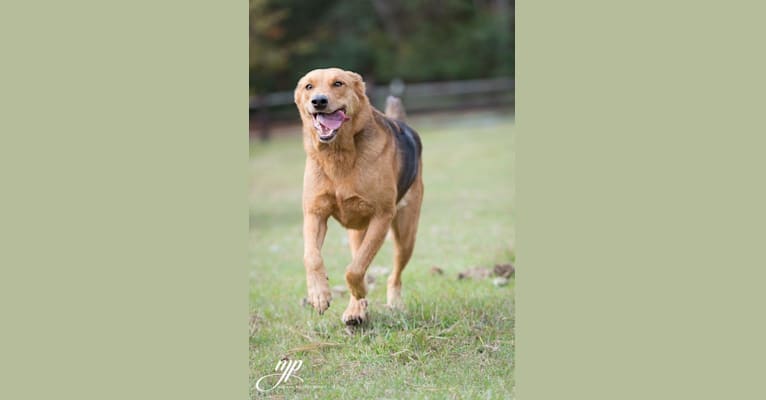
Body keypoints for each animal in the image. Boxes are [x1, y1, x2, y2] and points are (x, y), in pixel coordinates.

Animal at [294, 68, 426, 324]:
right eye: (308, 87)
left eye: (338, 83)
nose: (319, 101)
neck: (338, 155)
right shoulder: (315, 214)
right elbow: (312, 257)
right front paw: (319, 295)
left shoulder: (382, 217)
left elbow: (354, 270)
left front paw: (359, 291)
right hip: (358, 233)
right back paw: (356, 310)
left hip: (406, 234)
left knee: (393, 273)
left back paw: (391, 302)